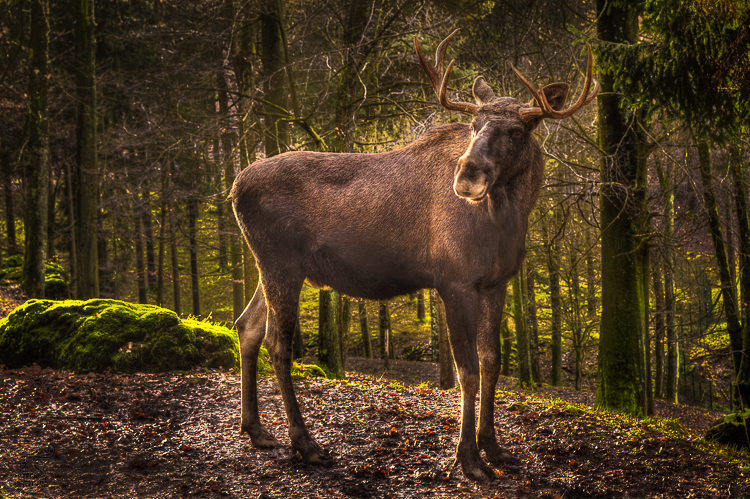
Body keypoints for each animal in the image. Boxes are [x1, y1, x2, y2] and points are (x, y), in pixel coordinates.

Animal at [231, 30, 598, 481]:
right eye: (474, 125)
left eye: (516, 130)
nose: (467, 175)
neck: (509, 217)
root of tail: (234, 187)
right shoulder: (454, 282)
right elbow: (466, 371)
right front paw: (469, 459)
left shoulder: (496, 284)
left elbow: (492, 363)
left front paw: (495, 449)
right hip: (281, 265)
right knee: (278, 345)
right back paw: (307, 445)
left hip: (270, 267)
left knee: (246, 326)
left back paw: (257, 431)